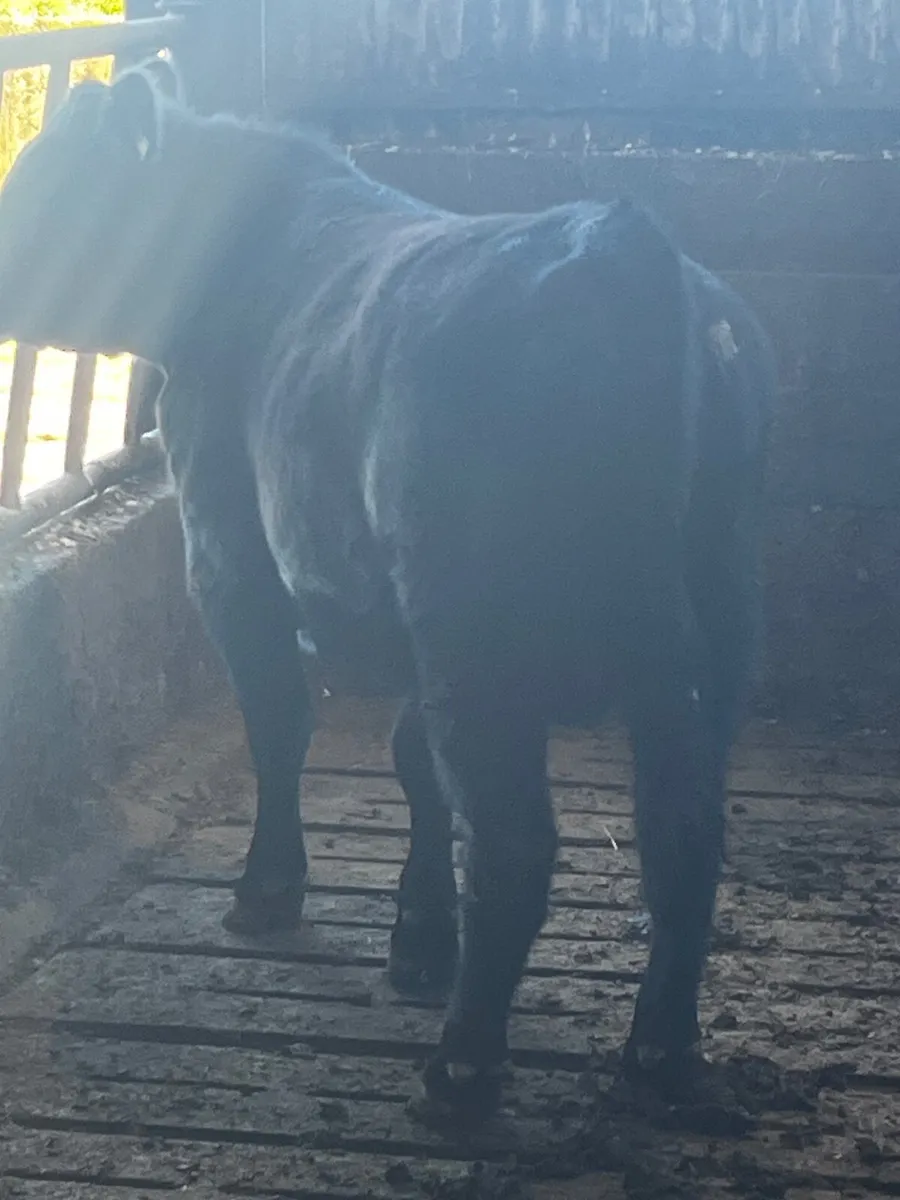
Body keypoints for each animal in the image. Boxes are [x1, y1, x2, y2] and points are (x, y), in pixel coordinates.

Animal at [0, 61, 775, 1119]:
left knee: (516, 840)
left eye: (49, 183)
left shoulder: (227, 552)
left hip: (481, 629)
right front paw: (419, 939)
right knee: (683, 833)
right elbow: (414, 763)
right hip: (706, 633)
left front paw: (268, 893)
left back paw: (462, 1069)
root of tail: (621, 242)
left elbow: (281, 724)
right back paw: (658, 1049)